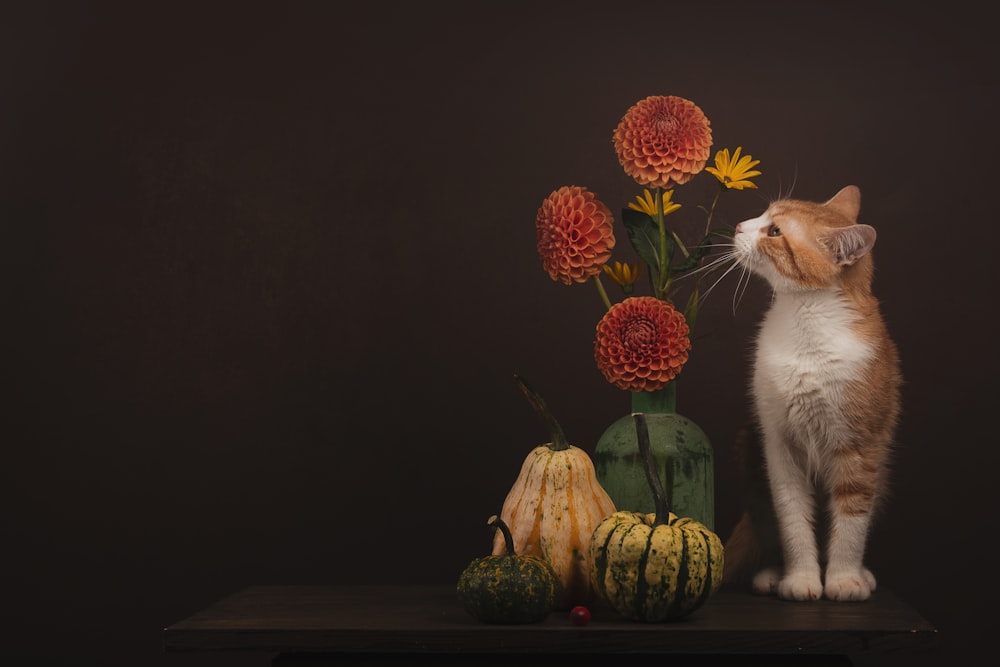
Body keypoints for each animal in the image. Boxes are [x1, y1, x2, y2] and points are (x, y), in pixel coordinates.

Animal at [720, 185, 900, 604]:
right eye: (763, 215)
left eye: (774, 232)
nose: (738, 226)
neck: (805, 317)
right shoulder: (777, 444)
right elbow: (791, 516)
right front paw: (800, 578)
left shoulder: (862, 446)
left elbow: (852, 519)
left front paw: (844, 579)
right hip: (749, 453)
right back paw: (771, 573)